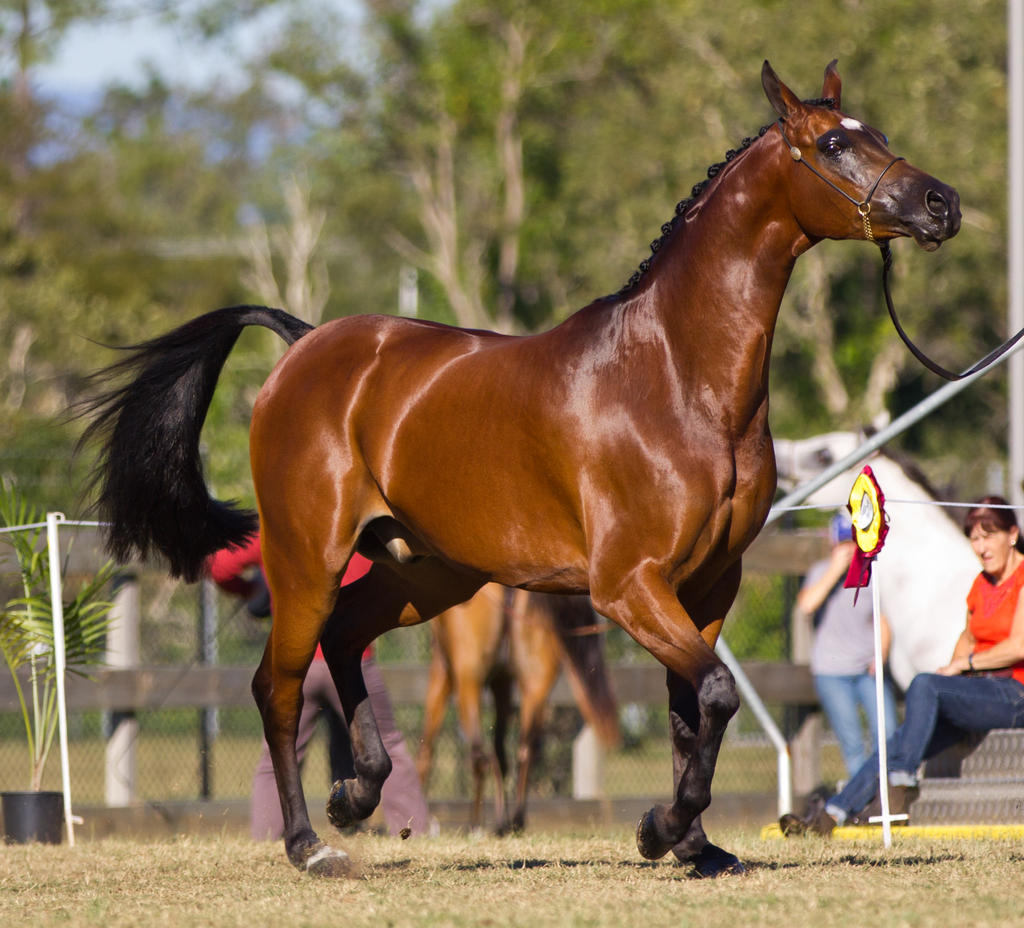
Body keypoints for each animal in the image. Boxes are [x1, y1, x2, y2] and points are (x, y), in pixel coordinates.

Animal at [413, 577, 614, 831]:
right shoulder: (503, 680)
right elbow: (501, 752)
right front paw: (502, 821)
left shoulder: (443, 669)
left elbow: (426, 749)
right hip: (535, 686)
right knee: (525, 750)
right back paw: (514, 821)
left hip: (468, 681)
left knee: (479, 755)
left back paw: (476, 824)